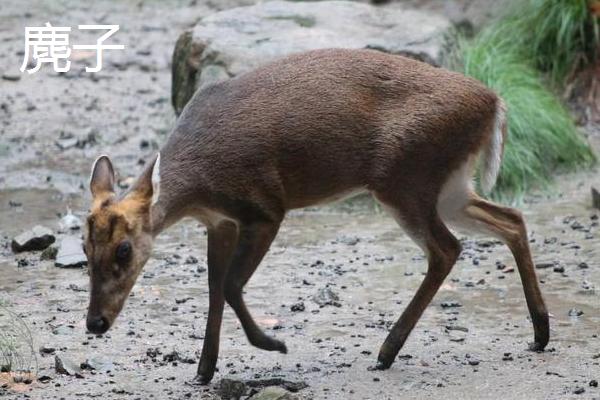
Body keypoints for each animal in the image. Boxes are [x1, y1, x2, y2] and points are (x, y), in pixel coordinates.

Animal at [83, 47, 548, 384]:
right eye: (85, 248)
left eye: (124, 250)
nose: (94, 323)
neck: (199, 183)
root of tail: (495, 103)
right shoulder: (219, 222)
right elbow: (214, 289)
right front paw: (203, 371)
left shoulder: (265, 207)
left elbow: (230, 286)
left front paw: (273, 345)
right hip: (449, 185)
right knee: (511, 219)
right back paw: (540, 334)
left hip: (406, 179)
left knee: (447, 248)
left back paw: (386, 352)